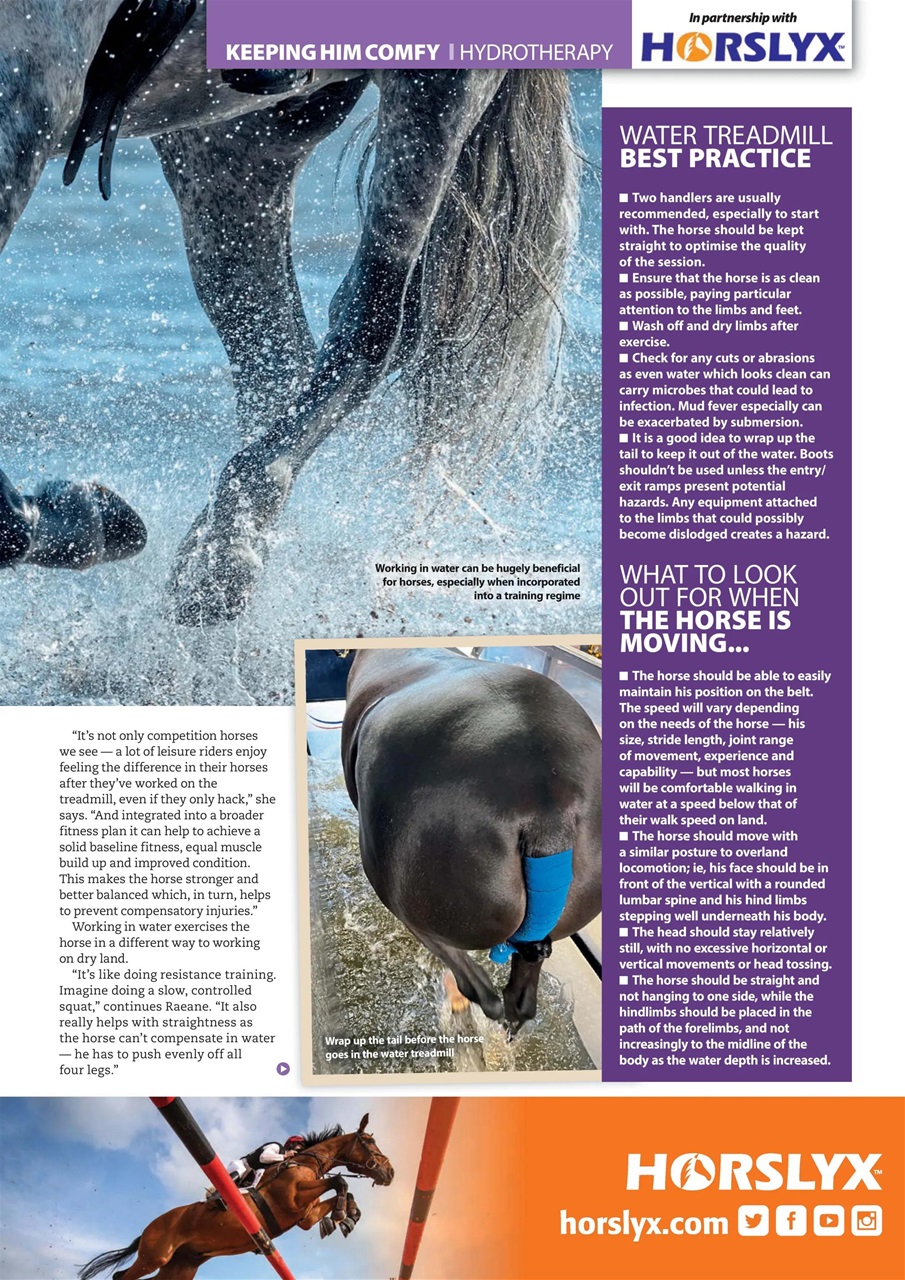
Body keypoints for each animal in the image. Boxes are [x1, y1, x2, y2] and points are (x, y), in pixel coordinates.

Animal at [0, 1, 580, 623]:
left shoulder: (34, 84)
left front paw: (87, 515)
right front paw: (88, 517)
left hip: (436, 91)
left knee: (370, 323)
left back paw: (223, 558)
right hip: (229, 139)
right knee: (277, 352)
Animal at [77, 1115, 394, 1280]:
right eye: (369, 1141)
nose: (390, 1172)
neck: (303, 1161)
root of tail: (148, 1228)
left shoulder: (305, 1215)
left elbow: (341, 1191)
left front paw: (347, 1218)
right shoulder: (292, 1198)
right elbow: (339, 1180)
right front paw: (341, 1215)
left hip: (180, 1268)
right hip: (155, 1255)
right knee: (122, 1277)